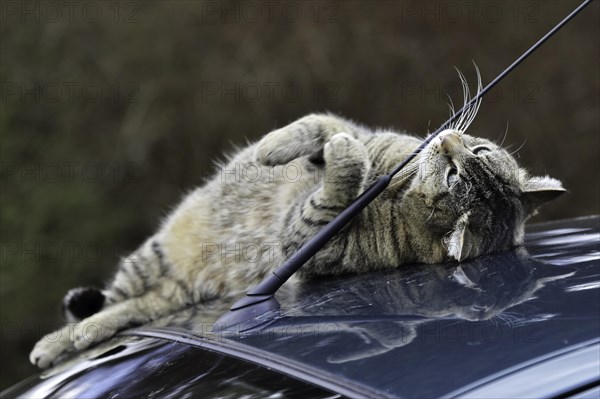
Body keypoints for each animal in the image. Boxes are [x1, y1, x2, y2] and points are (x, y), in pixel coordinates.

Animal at [28, 108, 564, 368]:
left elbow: (338, 175)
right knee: (117, 303)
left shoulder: (304, 238)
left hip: (159, 281)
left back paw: (66, 340)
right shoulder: (350, 133)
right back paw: (67, 338)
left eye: (456, 174)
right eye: (478, 151)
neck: (400, 192)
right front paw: (275, 149)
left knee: (129, 310)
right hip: (149, 261)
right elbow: (321, 127)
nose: (448, 137)